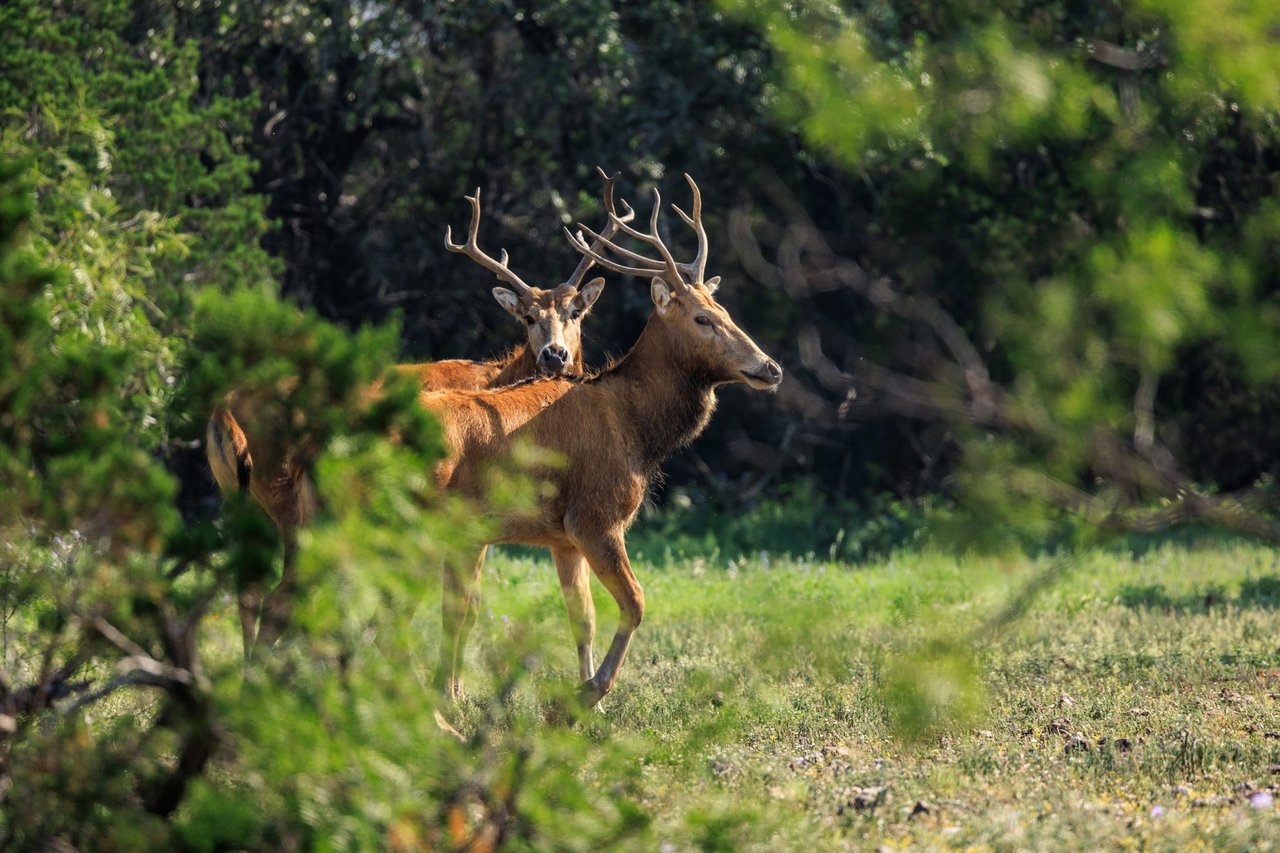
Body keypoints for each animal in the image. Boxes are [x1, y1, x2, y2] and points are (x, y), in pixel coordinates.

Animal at [203, 171, 634, 650]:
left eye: (576, 312)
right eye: (526, 317)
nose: (555, 355)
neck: (499, 380)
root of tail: (224, 411)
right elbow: (463, 609)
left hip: (239, 497)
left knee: (250, 589)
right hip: (286, 497)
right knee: (280, 593)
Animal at [430, 172, 778, 701]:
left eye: (725, 310)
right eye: (702, 318)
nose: (770, 367)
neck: (636, 428)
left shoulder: (563, 536)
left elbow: (583, 617)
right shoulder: (596, 515)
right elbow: (636, 602)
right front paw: (588, 692)